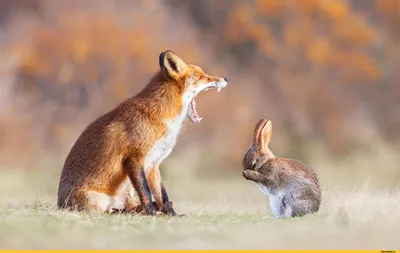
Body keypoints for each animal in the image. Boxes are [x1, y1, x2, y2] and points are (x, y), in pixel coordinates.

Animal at [57, 51, 230, 215]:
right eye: (202, 77)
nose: (226, 78)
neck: (162, 118)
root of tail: (60, 204)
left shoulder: (154, 163)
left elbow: (162, 195)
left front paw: (171, 215)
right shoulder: (134, 159)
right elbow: (146, 193)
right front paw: (152, 213)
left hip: (127, 190)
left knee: (129, 206)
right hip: (97, 199)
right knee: (110, 210)